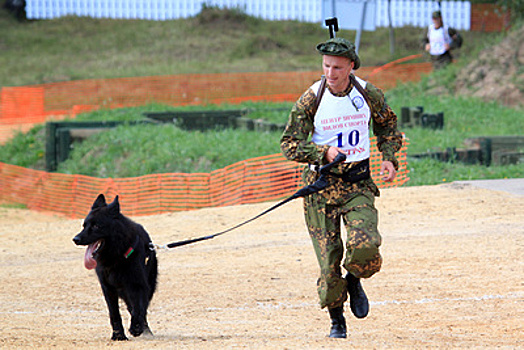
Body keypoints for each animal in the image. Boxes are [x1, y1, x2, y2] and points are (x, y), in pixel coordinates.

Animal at [72, 193, 158, 340]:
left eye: (96, 226)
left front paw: (136, 328)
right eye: (84, 225)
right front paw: (118, 335)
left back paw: (145, 330)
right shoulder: (108, 288)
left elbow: (138, 308)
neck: (116, 256)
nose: (75, 239)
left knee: (142, 308)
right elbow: (114, 313)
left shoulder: (138, 285)